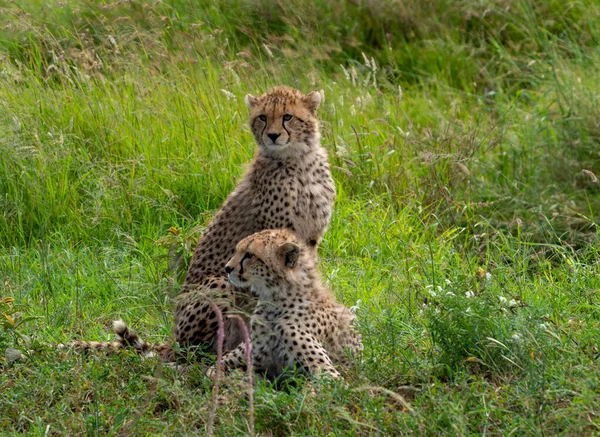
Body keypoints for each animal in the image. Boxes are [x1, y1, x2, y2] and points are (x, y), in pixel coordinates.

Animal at [209, 230, 364, 380]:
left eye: (249, 255)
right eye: (237, 250)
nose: (227, 268)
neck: (275, 301)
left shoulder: (329, 373)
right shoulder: (259, 367)